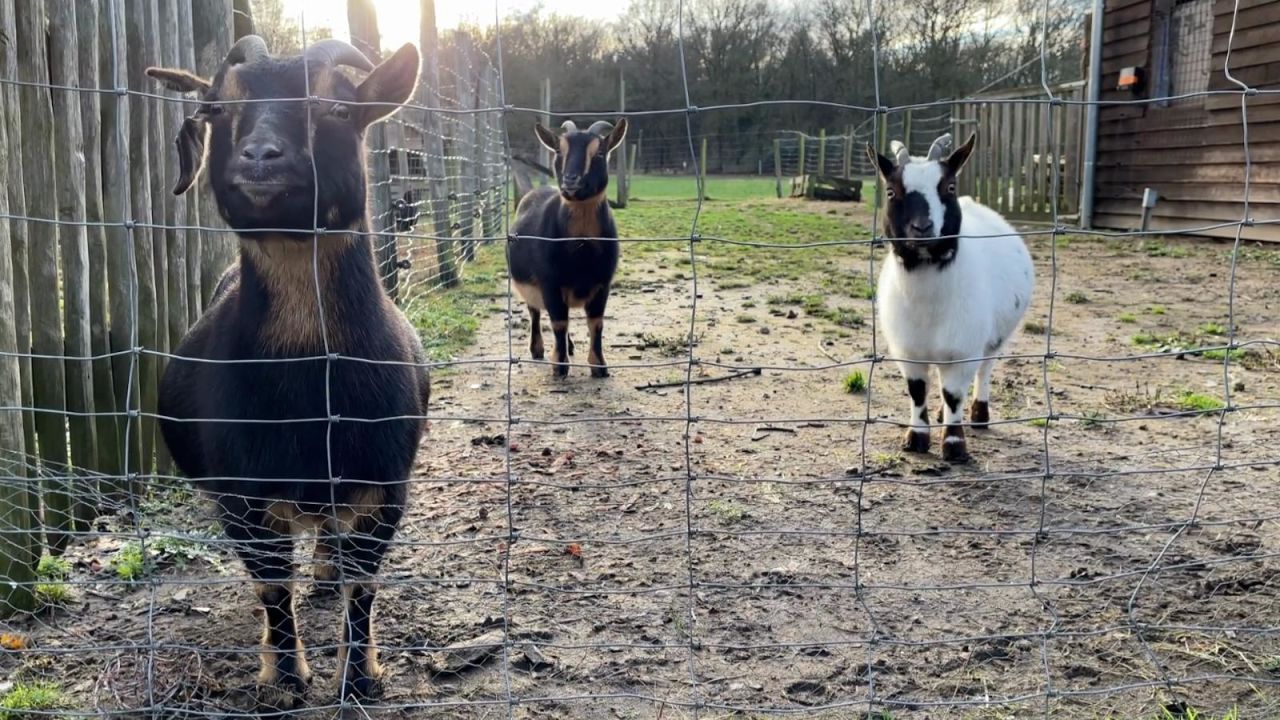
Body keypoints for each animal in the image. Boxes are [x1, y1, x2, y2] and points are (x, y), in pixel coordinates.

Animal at [148, 36, 430, 702]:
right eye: (218, 110)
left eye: (337, 107)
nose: (259, 157)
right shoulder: (241, 497)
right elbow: (273, 588)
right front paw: (285, 677)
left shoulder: (387, 488)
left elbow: (363, 588)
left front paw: (359, 679)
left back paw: (325, 576)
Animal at [865, 132, 1034, 461]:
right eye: (891, 191)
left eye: (949, 187)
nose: (922, 227)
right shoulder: (908, 350)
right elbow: (918, 392)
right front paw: (916, 438)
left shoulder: (963, 349)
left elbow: (953, 394)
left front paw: (954, 445)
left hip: (996, 336)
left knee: (985, 369)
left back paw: (979, 415)